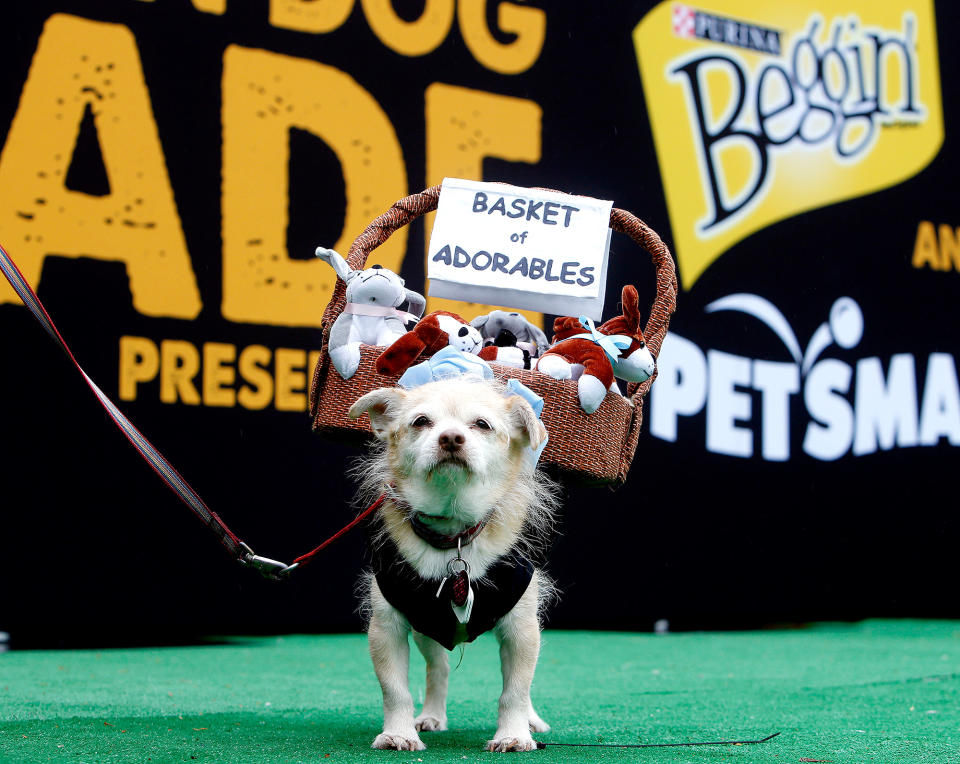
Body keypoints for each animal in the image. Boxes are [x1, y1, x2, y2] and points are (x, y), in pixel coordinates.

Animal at [348, 376, 560, 752]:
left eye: (482, 424)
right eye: (421, 422)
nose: (450, 438)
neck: (454, 531)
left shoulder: (521, 629)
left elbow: (516, 691)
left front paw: (514, 735)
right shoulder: (387, 629)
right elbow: (395, 690)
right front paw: (399, 733)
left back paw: (532, 722)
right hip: (427, 631)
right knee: (439, 669)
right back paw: (431, 716)